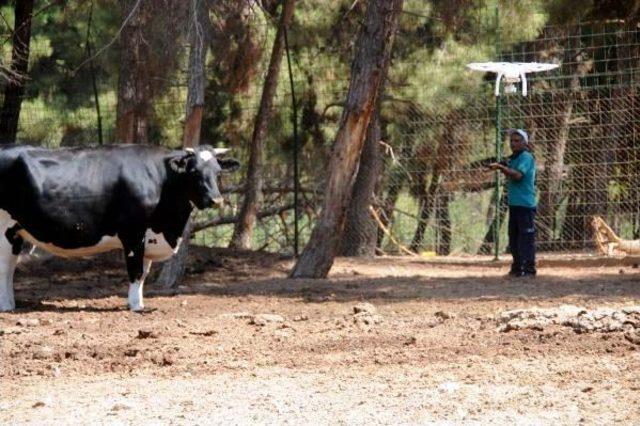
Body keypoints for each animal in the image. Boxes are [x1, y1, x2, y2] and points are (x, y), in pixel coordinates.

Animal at [0, 143, 239, 310]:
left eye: (218, 172)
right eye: (194, 172)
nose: (216, 200)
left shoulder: (148, 237)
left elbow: (143, 273)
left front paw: (138, 301)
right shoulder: (133, 232)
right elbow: (135, 270)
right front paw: (135, 306)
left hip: (16, 232)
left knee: (10, 268)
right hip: (4, 228)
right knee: (5, 268)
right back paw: (6, 307)